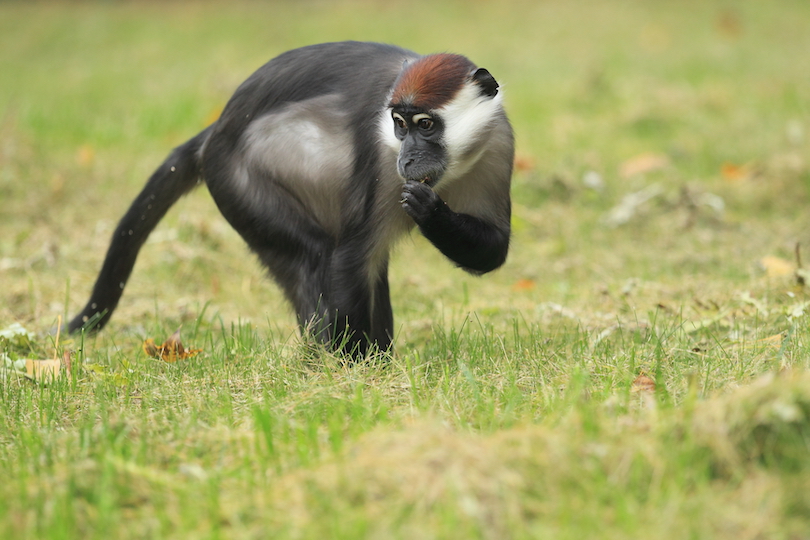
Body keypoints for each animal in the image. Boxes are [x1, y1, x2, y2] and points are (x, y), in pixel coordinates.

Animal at [69, 40, 512, 356]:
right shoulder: (381, 159)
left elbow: (494, 251)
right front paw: (357, 373)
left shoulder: (498, 144)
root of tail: (216, 132)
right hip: (238, 183)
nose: (408, 158)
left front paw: (433, 213)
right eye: (400, 125)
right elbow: (349, 260)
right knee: (315, 256)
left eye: (426, 125)